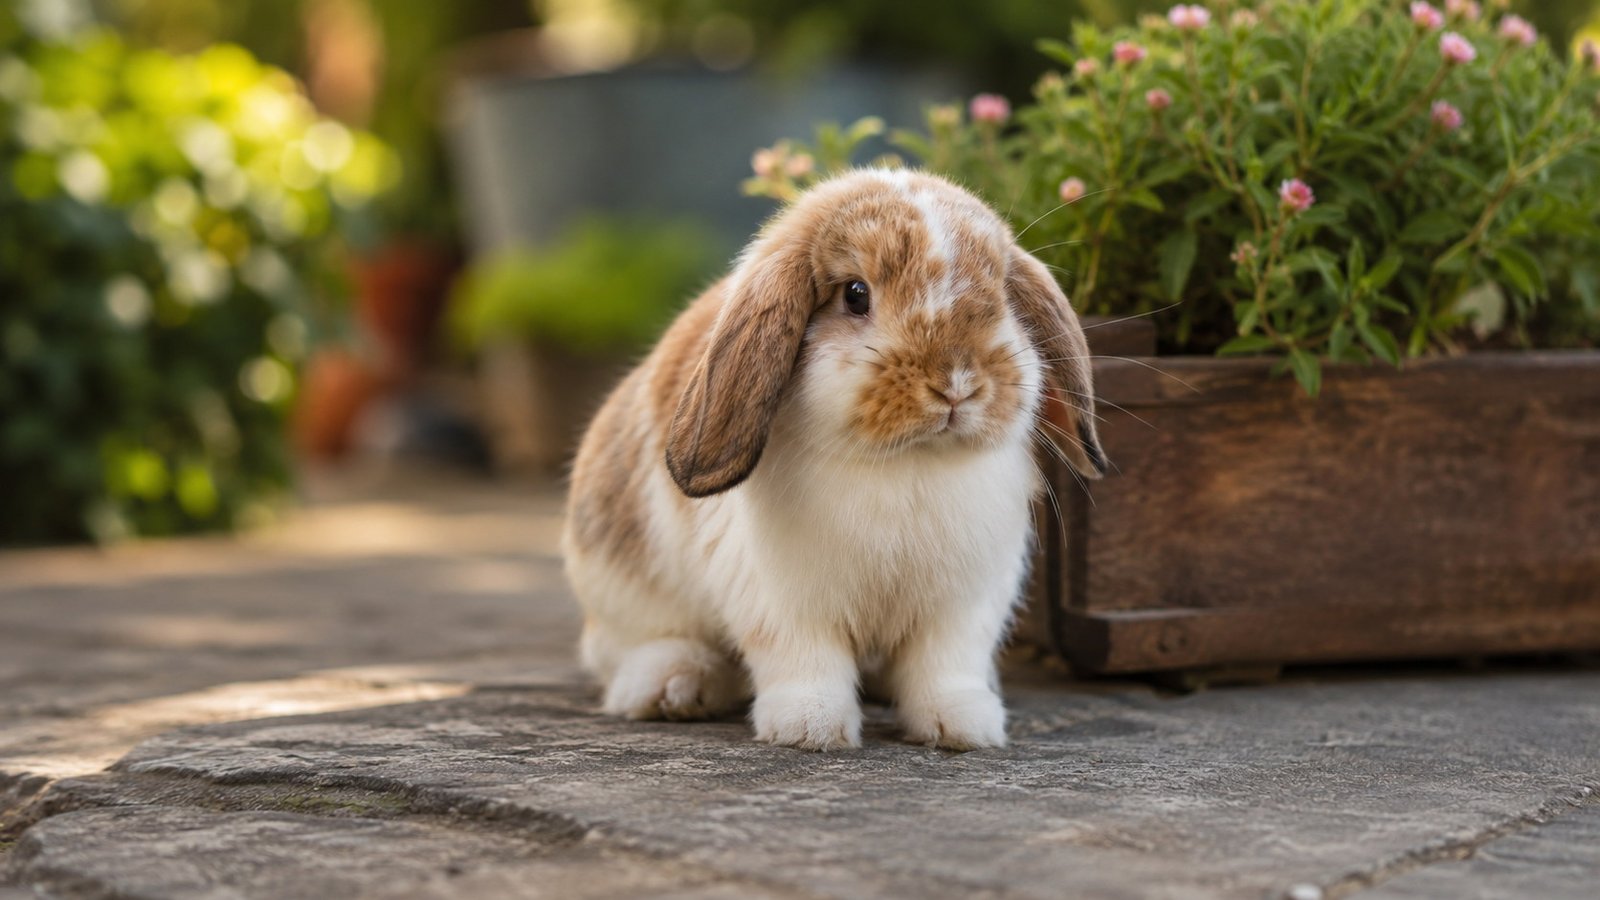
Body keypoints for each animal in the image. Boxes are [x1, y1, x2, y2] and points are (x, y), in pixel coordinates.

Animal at [562, 169, 1106, 751]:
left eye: (1002, 292)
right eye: (855, 295)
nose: (956, 384)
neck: (907, 464)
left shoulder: (965, 602)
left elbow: (945, 665)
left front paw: (960, 726)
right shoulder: (783, 599)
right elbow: (804, 659)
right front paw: (810, 728)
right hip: (625, 597)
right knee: (629, 649)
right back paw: (673, 688)